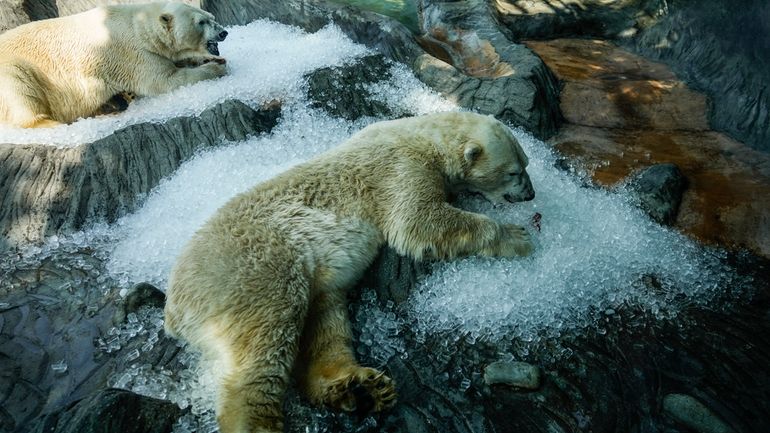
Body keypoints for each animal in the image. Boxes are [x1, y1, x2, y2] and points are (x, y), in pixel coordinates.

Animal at [0, 1, 228, 127]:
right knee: (20, 89)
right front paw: (216, 67)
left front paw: (211, 59)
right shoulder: (133, 54)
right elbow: (165, 80)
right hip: (15, 68)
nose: (224, 32)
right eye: (201, 22)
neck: (138, 25)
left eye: (211, 16)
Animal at [162, 110, 536, 432]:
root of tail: (175, 310)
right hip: (253, 269)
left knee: (326, 320)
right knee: (265, 341)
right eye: (514, 172)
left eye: (527, 164)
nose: (531, 194)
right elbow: (418, 222)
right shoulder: (401, 169)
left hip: (305, 280)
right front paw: (516, 236)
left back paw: (356, 386)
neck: (421, 135)